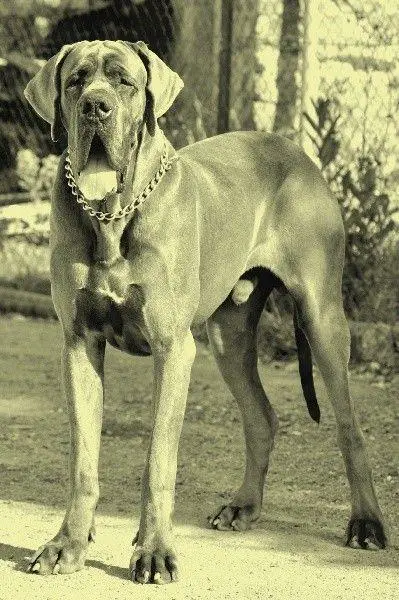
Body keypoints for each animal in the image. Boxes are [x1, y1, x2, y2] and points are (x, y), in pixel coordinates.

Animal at [23, 39, 386, 584]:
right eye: (75, 82)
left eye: (124, 82)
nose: (94, 108)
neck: (112, 215)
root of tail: (297, 153)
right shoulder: (79, 343)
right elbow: (83, 460)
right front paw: (68, 544)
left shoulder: (173, 348)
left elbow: (158, 460)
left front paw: (153, 551)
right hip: (228, 336)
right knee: (262, 418)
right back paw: (243, 507)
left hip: (321, 317)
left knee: (350, 429)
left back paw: (366, 524)